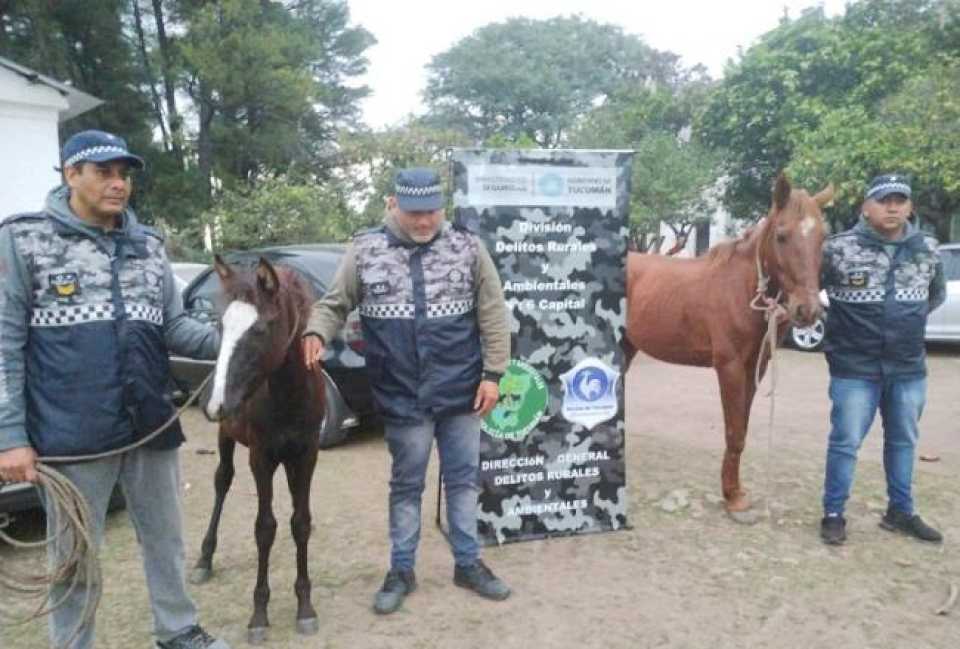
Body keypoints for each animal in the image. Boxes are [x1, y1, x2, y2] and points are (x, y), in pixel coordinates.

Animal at [193, 256, 324, 644]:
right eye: (221, 326)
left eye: (261, 330)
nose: (217, 404)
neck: (289, 396)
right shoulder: (261, 458)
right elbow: (264, 529)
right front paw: (259, 615)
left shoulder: (306, 456)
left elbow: (300, 522)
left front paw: (305, 607)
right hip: (226, 436)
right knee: (222, 481)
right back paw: (204, 559)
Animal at [628, 172, 828, 516]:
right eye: (781, 235)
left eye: (823, 237)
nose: (808, 311)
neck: (741, 288)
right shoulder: (730, 366)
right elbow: (734, 431)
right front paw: (733, 497)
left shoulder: (755, 367)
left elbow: (742, 429)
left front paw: (735, 490)